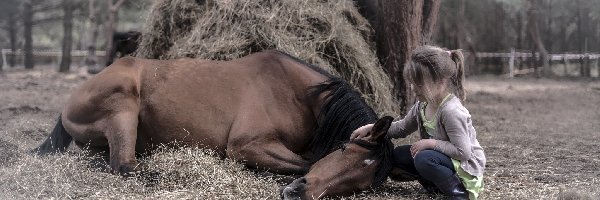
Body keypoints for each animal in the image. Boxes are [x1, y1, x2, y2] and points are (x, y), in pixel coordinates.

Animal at [35, 50, 396, 198]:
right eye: (344, 148)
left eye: (361, 184)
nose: (300, 193)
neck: (295, 93)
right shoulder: (247, 145)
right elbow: (305, 162)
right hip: (123, 105)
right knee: (124, 166)